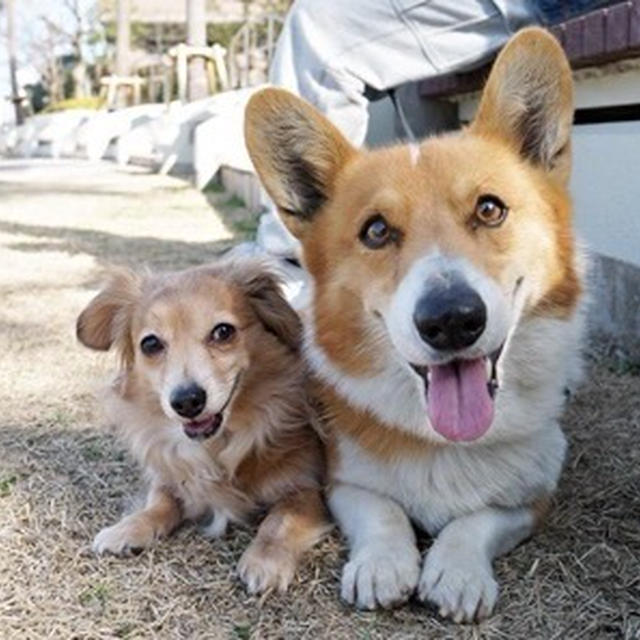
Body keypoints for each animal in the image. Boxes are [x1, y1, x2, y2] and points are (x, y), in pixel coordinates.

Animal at [77, 258, 330, 596]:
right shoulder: (170, 477)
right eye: (150, 344)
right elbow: (159, 503)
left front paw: (265, 561)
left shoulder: (306, 488)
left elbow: (280, 521)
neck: (218, 445)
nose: (186, 401)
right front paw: (127, 528)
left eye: (223, 332)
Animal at [245, 28, 584, 620]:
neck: (444, 443)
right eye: (376, 231)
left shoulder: (533, 498)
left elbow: (477, 520)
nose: (451, 320)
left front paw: (457, 572)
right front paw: (383, 565)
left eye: (490, 209)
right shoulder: (342, 482)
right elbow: (383, 511)